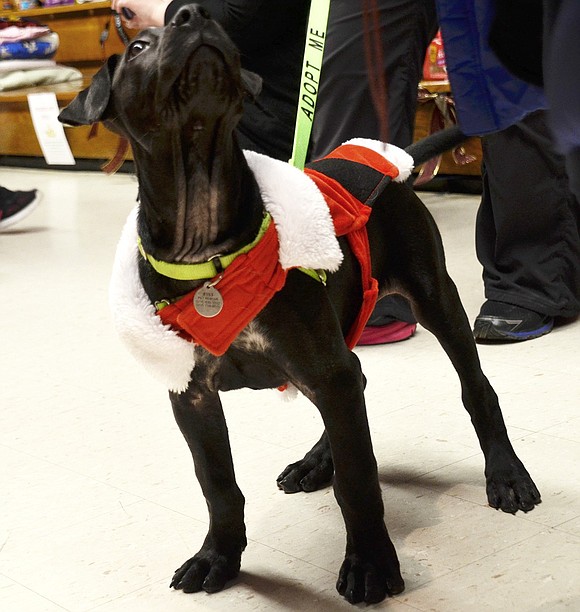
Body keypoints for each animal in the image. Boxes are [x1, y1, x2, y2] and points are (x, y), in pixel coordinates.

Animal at [59, 4, 540, 604]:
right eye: (138, 47)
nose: (194, 15)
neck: (209, 247)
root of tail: (392, 164)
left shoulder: (322, 369)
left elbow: (359, 482)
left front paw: (370, 564)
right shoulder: (191, 394)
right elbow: (217, 484)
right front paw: (217, 556)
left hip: (434, 297)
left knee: (474, 388)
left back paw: (506, 475)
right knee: (358, 378)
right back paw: (316, 462)